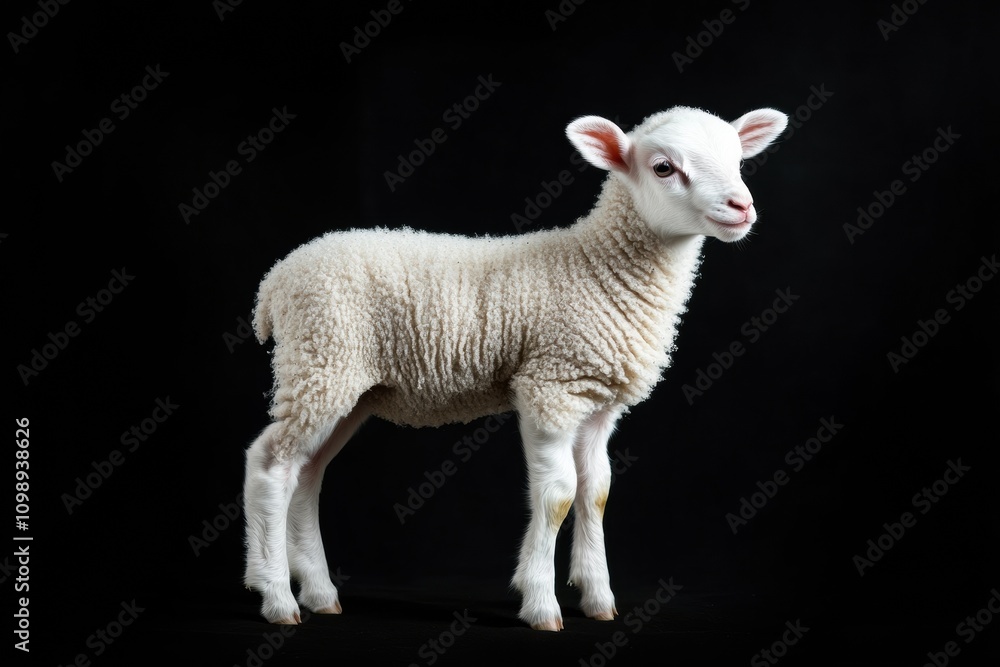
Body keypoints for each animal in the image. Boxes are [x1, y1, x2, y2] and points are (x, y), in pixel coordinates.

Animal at [242, 105, 788, 630]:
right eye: (663, 168)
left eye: (739, 160)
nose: (742, 206)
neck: (598, 267)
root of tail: (275, 281)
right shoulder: (550, 386)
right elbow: (559, 495)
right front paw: (542, 604)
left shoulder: (598, 403)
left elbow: (597, 492)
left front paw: (598, 599)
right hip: (321, 360)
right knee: (270, 466)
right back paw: (276, 597)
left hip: (345, 384)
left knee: (306, 475)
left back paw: (319, 593)